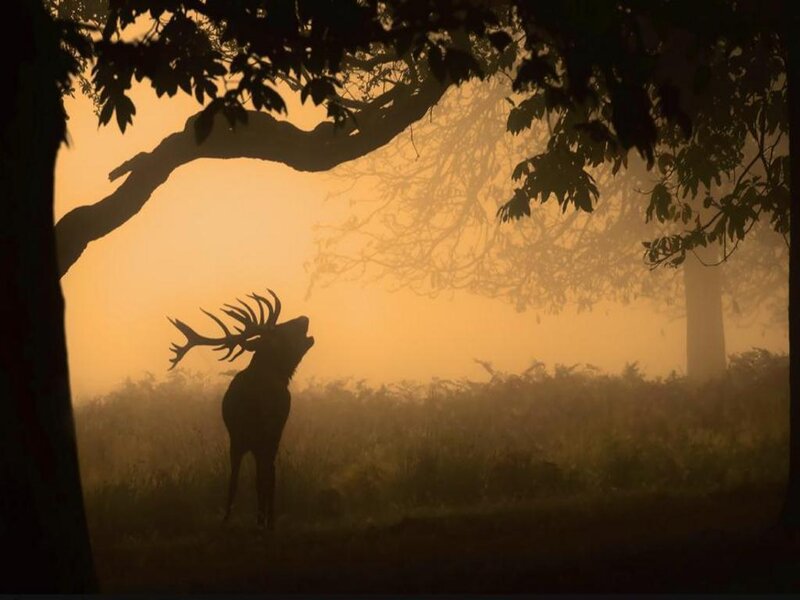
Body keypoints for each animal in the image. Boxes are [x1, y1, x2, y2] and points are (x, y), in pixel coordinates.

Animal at [167, 289, 314, 529]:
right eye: (281, 330)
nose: (304, 318)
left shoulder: (239, 438)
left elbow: (238, 479)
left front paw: (232, 517)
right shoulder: (271, 434)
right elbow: (267, 475)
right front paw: (266, 519)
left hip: (241, 439)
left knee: (241, 476)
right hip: (266, 435)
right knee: (267, 472)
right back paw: (265, 519)